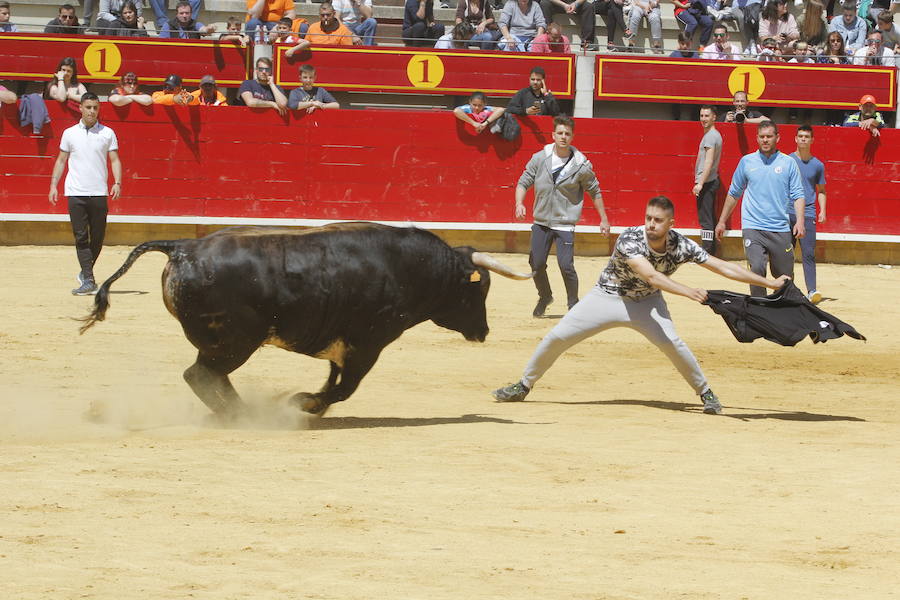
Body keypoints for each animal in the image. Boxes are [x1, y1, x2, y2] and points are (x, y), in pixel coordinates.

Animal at [81, 224, 532, 418]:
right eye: (479, 289)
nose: (483, 332)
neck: (408, 267)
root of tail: (181, 247)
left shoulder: (342, 343)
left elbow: (334, 381)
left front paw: (310, 403)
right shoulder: (368, 344)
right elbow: (344, 388)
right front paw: (304, 403)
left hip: (226, 343)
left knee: (208, 376)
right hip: (236, 341)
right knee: (201, 375)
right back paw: (243, 414)